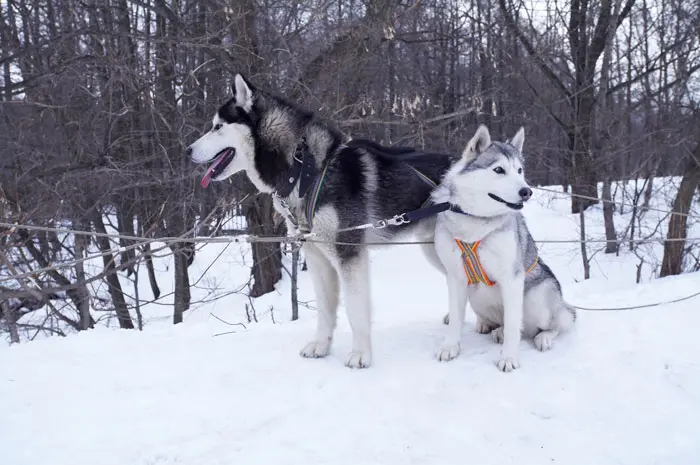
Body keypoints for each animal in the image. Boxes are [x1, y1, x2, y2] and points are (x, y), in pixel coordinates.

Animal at [189, 74, 456, 368]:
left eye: (217, 127)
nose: (188, 150)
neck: (305, 170)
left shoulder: (348, 253)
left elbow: (355, 310)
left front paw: (360, 354)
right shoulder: (316, 256)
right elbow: (325, 309)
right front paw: (321, 346)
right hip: (434, 249)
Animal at [432, 125, 576, 372]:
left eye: (519, 170)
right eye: (499, 169)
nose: (527, 191)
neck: (476, 221)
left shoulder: (512, 279)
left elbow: (512, 327)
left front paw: (508, 357)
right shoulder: (456, 277)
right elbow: (455, 320)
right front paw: (450, 347)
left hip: (539, 296)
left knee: (549, 325)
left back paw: (543, 336)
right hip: (477, 296)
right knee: (504, 323)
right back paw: (490, 326)